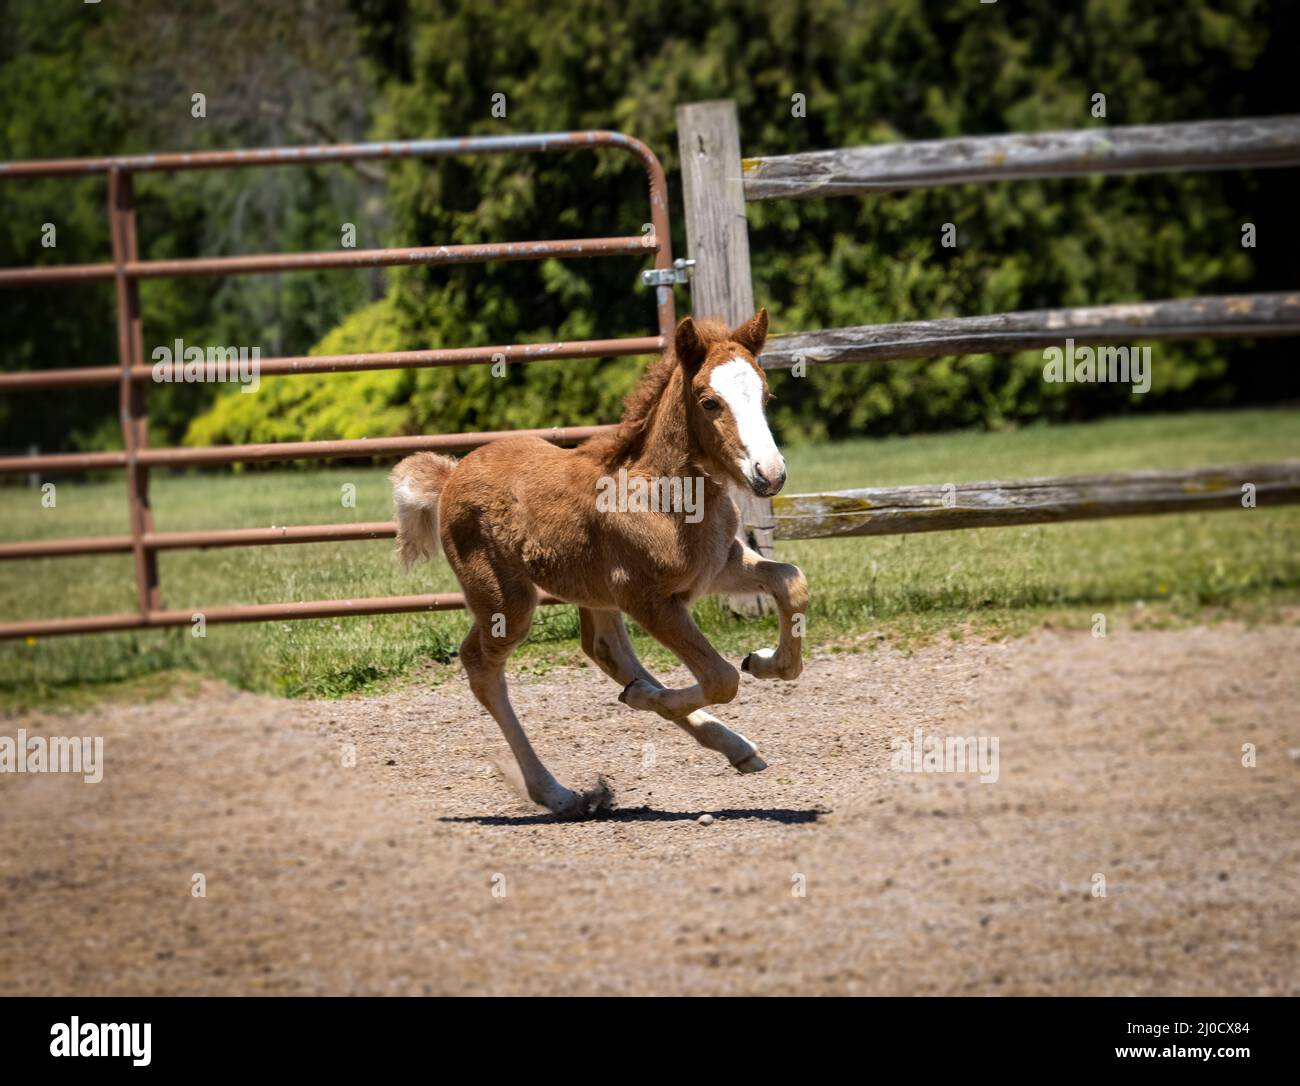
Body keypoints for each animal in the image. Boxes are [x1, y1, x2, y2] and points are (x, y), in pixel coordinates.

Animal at [390, 308, 809, 817]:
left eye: (765, 396)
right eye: (710, 402)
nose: (770, 474)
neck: (666, 496)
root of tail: (451, 474)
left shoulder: (717, 567)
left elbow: (791, 582)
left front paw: (767, 662)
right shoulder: (648, 598)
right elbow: (721, 676)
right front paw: (669, 694)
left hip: (595, 594)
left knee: (604, 649)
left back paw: (726, 742)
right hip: (506, 601)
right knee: (482, 666)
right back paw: (557, 792)